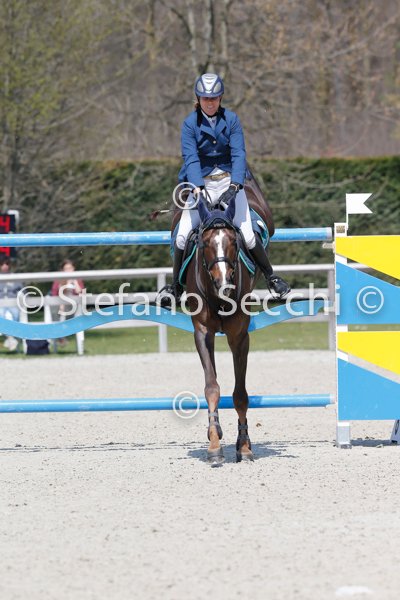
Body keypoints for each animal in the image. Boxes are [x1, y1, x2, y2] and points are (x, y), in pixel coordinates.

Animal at [171, 169, 275, 466]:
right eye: (205, 243)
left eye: (233, 242)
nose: (224, 284)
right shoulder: (203, 332)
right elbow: (212, 387)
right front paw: (214, 443)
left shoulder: (239, 336)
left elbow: (240, 394)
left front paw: (244, 446)